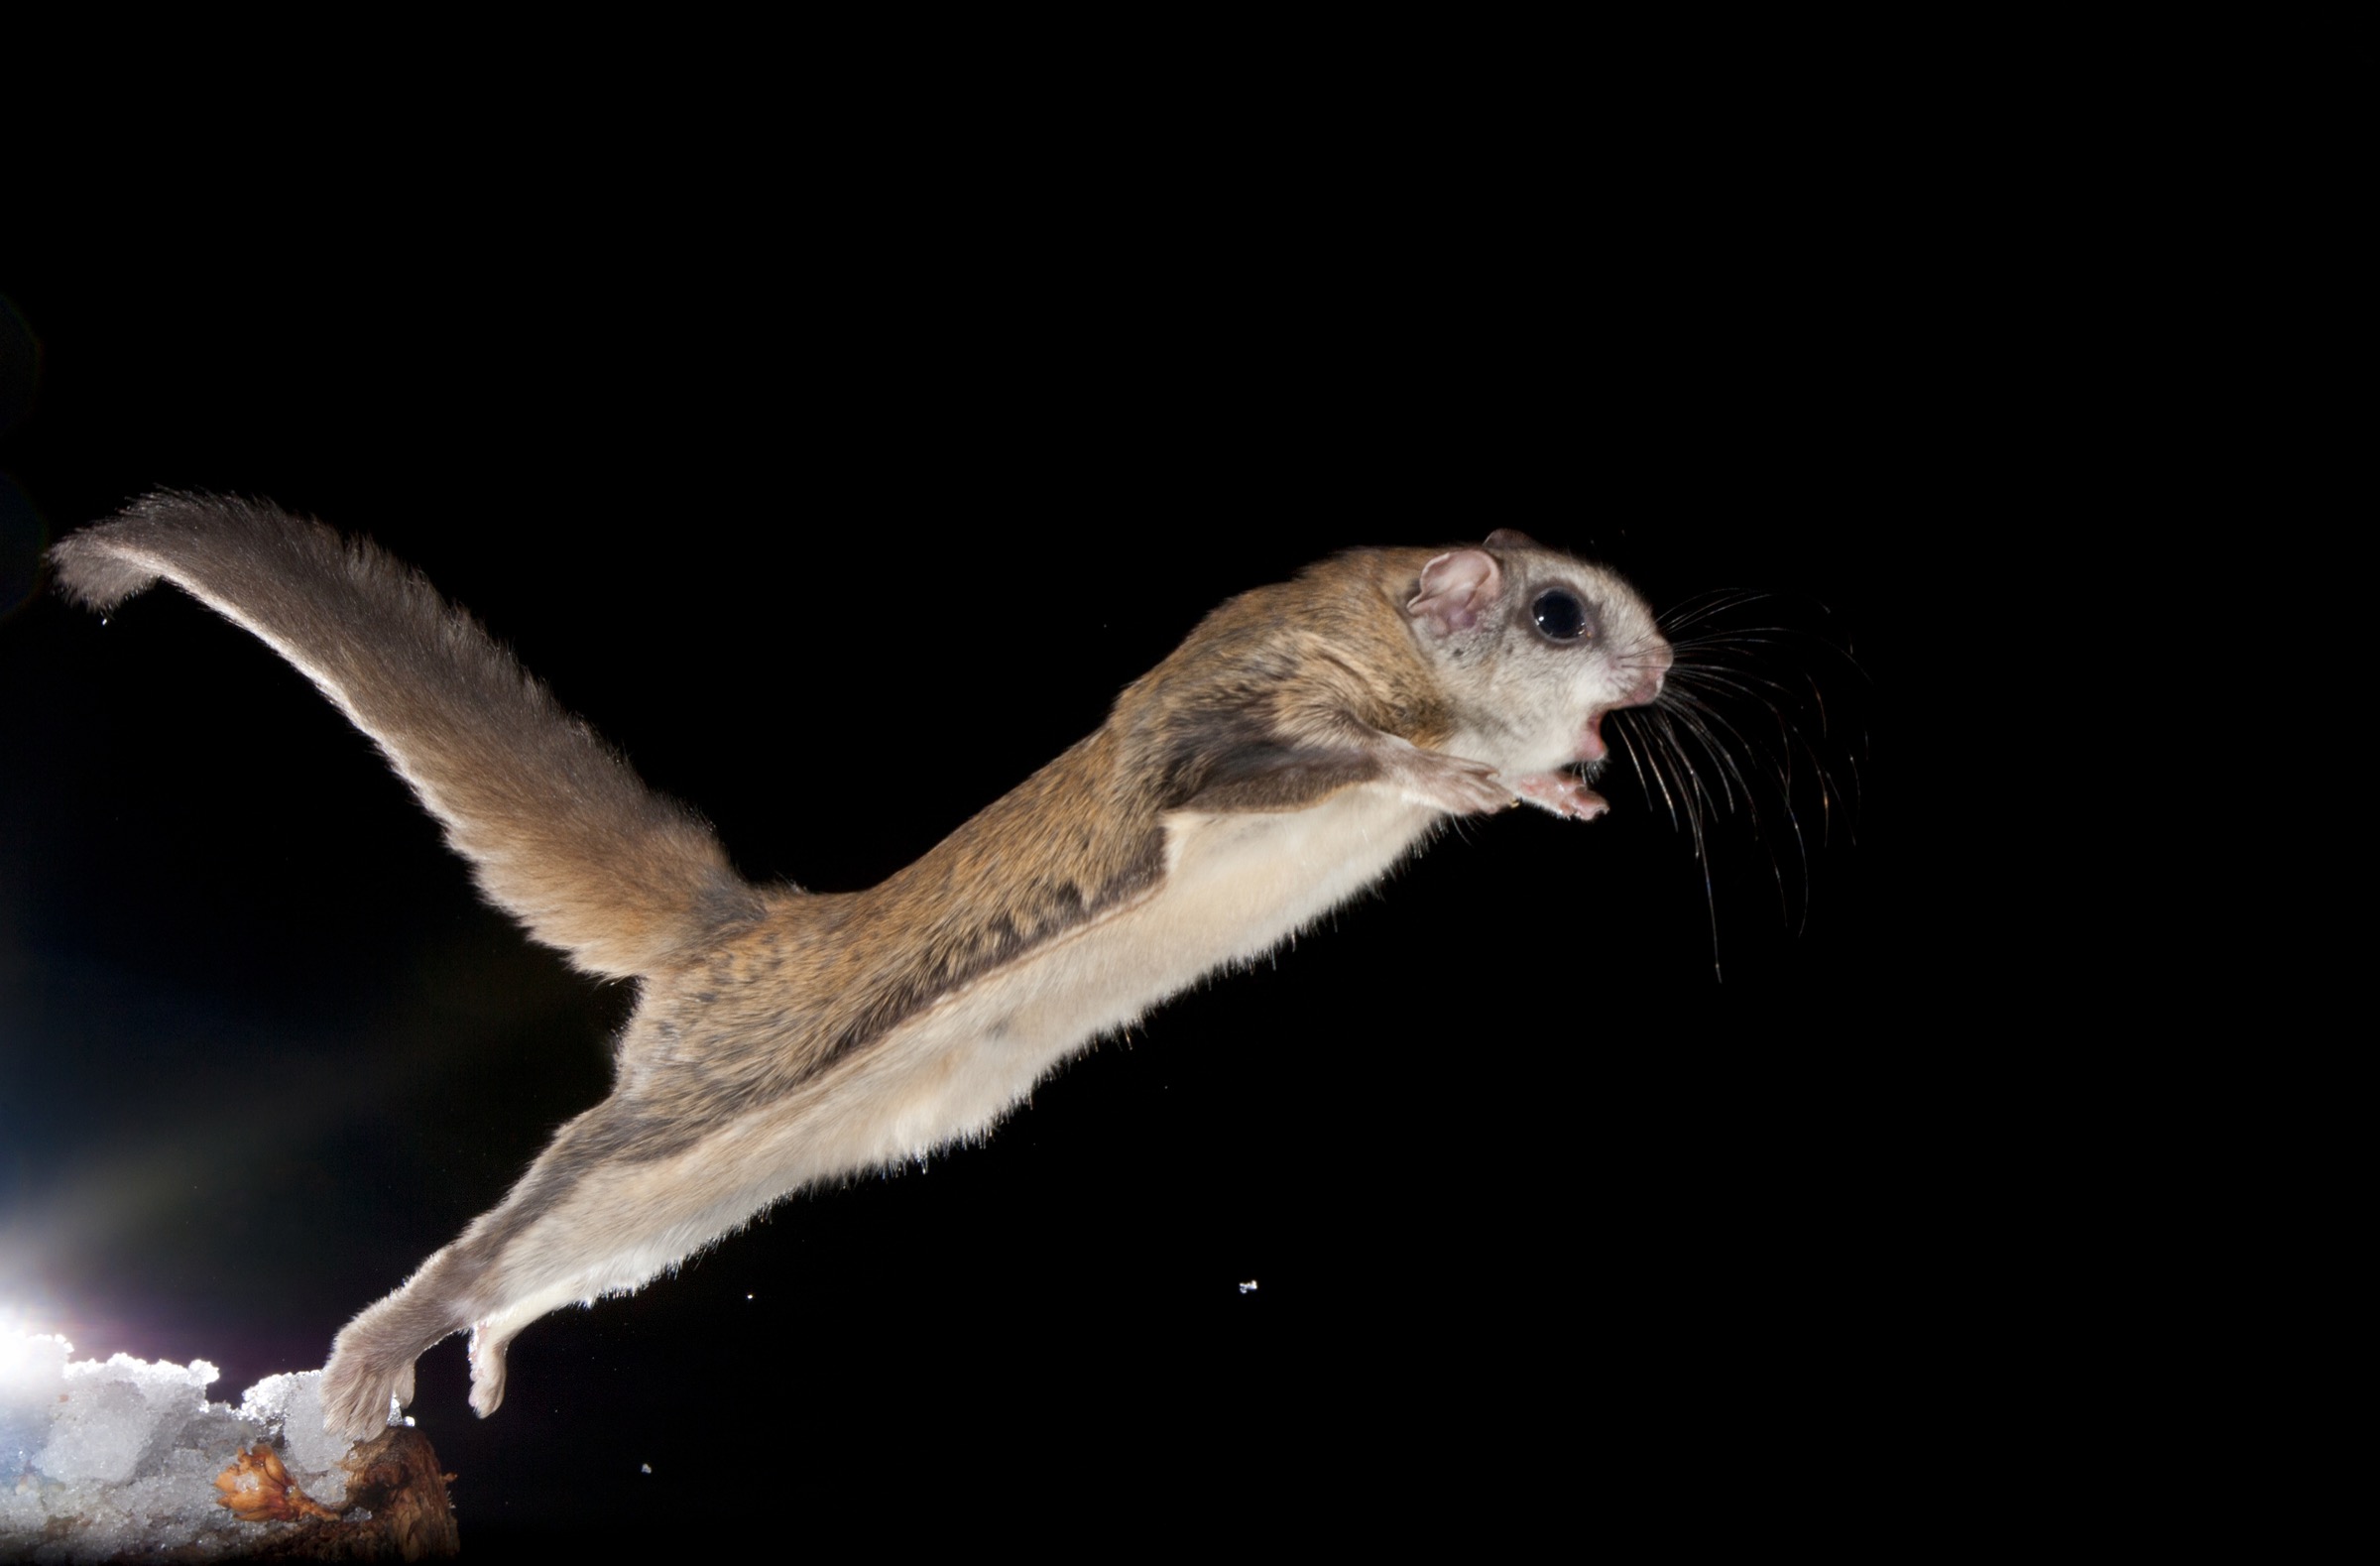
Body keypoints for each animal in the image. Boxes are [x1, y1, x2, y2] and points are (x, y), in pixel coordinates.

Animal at [50, 492, 1671, 1440]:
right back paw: (373, 1354)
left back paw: (489, 1350)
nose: (1657, 675)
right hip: (695, 1106)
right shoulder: (1218, 724)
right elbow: (1301, 760)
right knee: (501, 1225)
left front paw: (1561, 785)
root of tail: (750, 926)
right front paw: (1466, 775)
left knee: (530, 1272)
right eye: (1560, 612)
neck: (1372, 631)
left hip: (689, 1209)